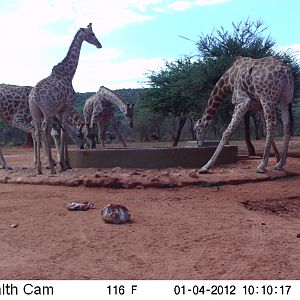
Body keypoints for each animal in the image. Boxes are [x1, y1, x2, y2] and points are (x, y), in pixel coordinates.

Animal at [29, 23, 102, 175]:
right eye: (92, 34)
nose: (99, 44)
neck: (69, 74)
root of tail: (34, 97)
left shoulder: (59, 110)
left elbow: (64, 132)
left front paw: (65, 164)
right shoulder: (66, 107)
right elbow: (64, 133)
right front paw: (64, 164)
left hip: (35, 112)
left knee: (37, 133)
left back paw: (39, 168)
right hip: (47, 112)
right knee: (45, 133)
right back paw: (51, 168)